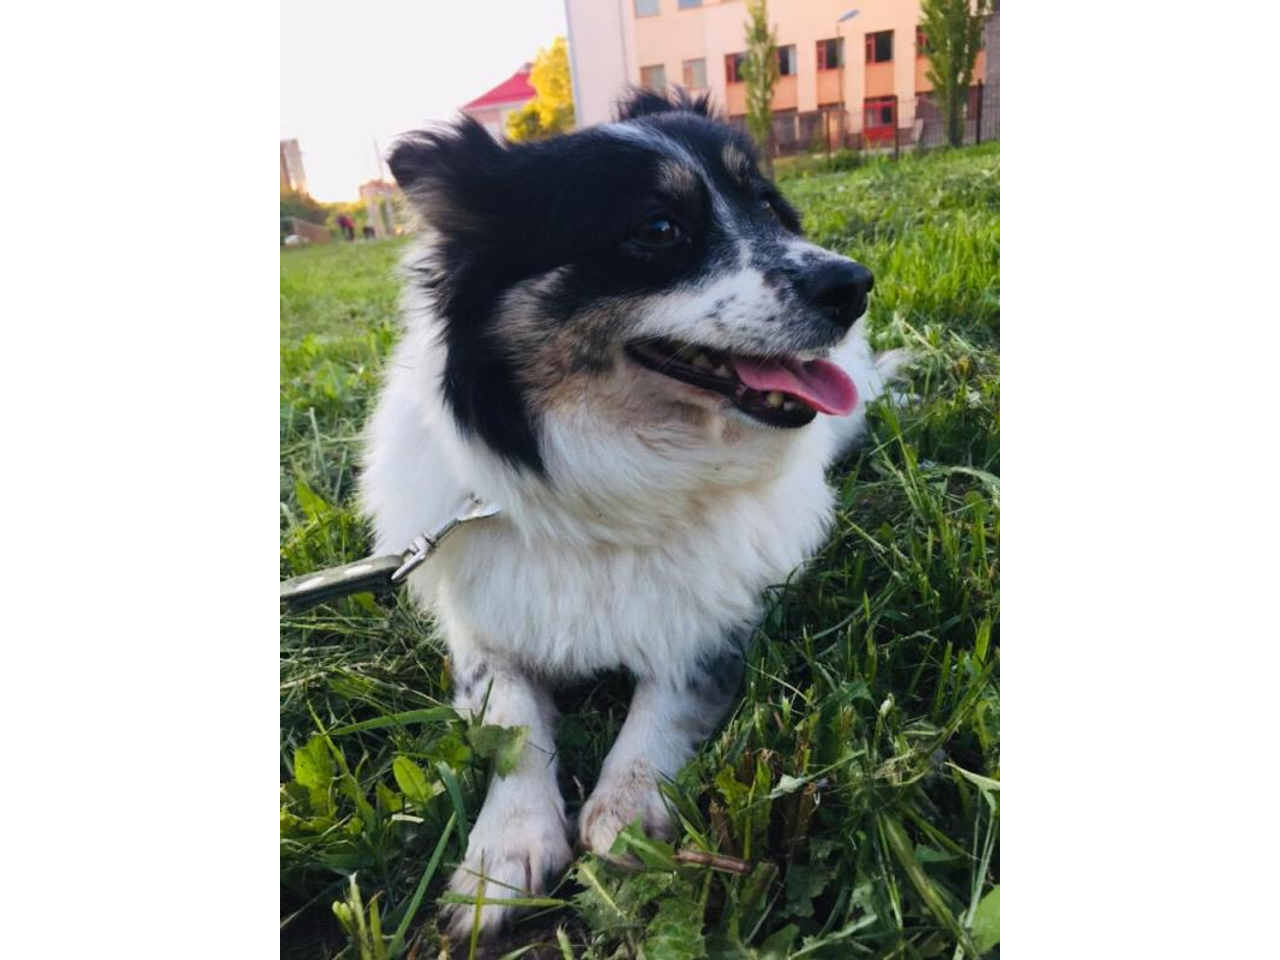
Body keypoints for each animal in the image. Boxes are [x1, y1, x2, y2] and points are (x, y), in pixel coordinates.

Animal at [360, 89, 906, 939]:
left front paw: (628, 804)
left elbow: (667, 698)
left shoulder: (721, 609)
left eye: (766, 205)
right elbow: (512, 723)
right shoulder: (481, 630)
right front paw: (500, 855)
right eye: (655, 229)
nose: (853, 284)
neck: (612, 477)